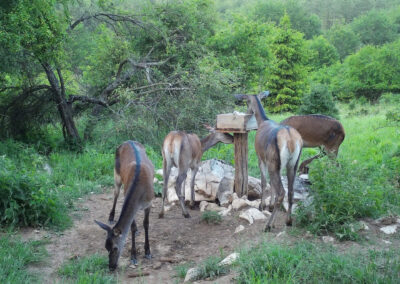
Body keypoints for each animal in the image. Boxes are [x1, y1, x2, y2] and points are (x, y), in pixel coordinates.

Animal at [95, 141, 155, 272]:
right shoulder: (126, 194)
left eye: (115, 248)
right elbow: (131, 227)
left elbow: (146, 224)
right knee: (115, 193)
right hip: (116, 174)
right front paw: (133, 256)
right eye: (106, 247)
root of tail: (128, 141)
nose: (111, 267)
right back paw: (111, 217)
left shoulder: (149, 203)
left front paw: (148, 252)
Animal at [234, 92, 304, 232]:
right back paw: (288, 221)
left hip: (273, 163)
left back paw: (269, 225)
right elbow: (271, 184)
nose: (247, 113)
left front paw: (262, 206)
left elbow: (264, 182)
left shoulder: (261, 158)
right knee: (291, 191)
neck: (262, 121)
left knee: (282, 192)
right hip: (293, 164)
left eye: (246, 101)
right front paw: (270, 206)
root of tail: (291, 140)